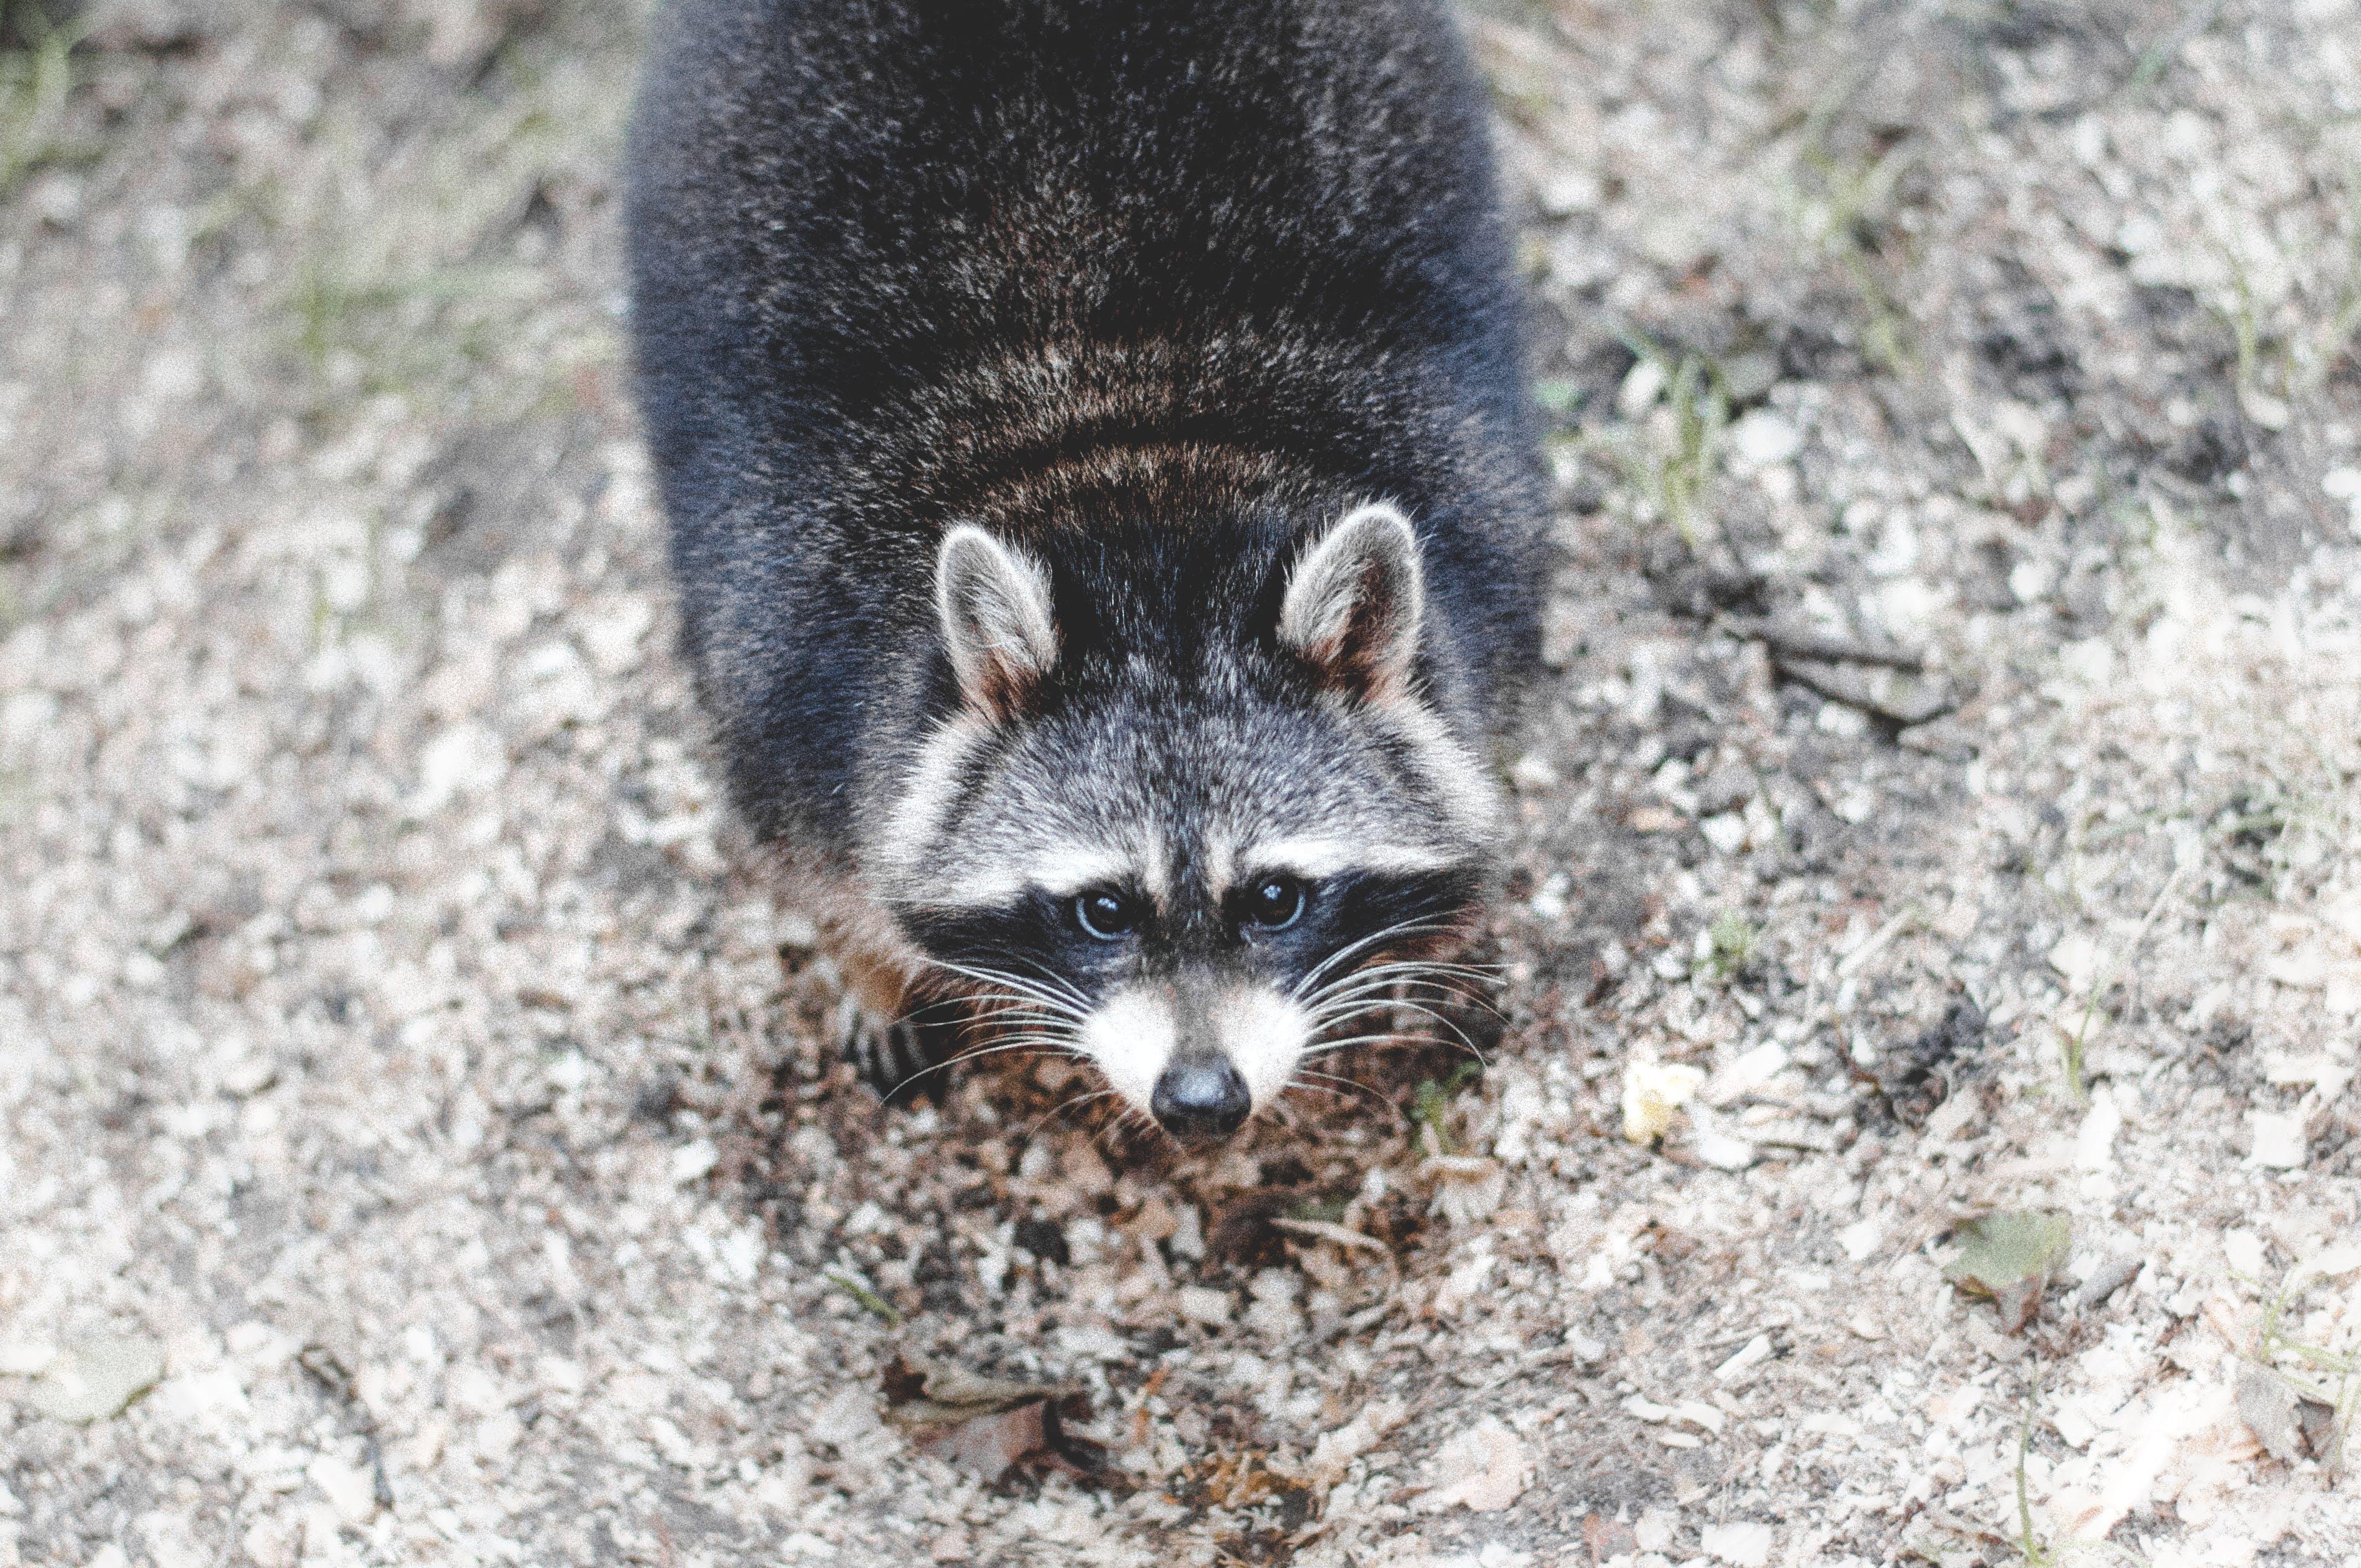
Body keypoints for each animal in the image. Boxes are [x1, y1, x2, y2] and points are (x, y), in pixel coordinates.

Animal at [628, 0, 1549, 1133]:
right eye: (1102, 908)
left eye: (1275, 897)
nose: (1201, 1100)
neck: (1136, 467)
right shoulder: (783, 653)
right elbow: (813, 854)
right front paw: (869, 964)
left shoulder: (1485, 543)